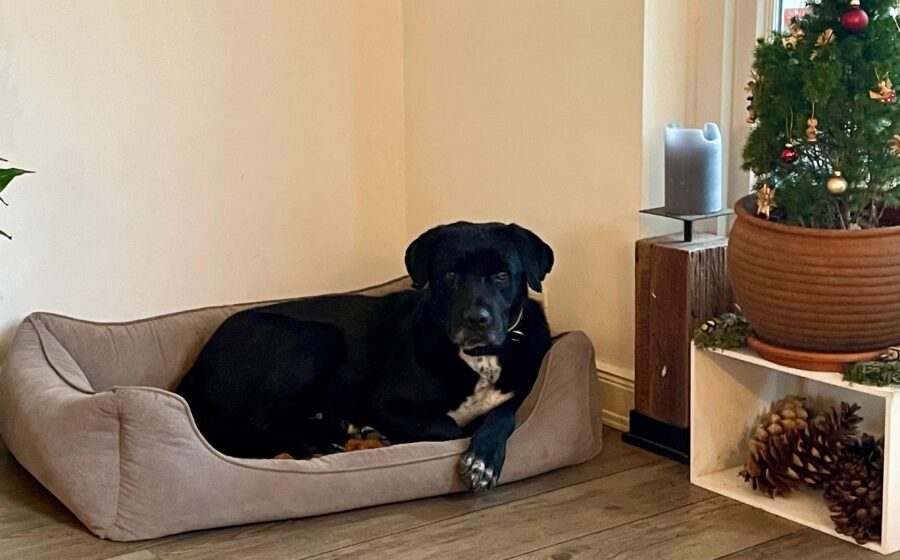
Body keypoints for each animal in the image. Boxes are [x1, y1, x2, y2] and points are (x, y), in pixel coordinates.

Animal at [176, 221, 553, 491]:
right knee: (262, 423)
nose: (477, 320)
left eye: (502, 275)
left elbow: (502, 415)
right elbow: (448, 427)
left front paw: (483, 459)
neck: (478, 357)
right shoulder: (384, 403)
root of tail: (195, 369)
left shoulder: (513, 397)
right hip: (316, 338)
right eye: (451, 275)